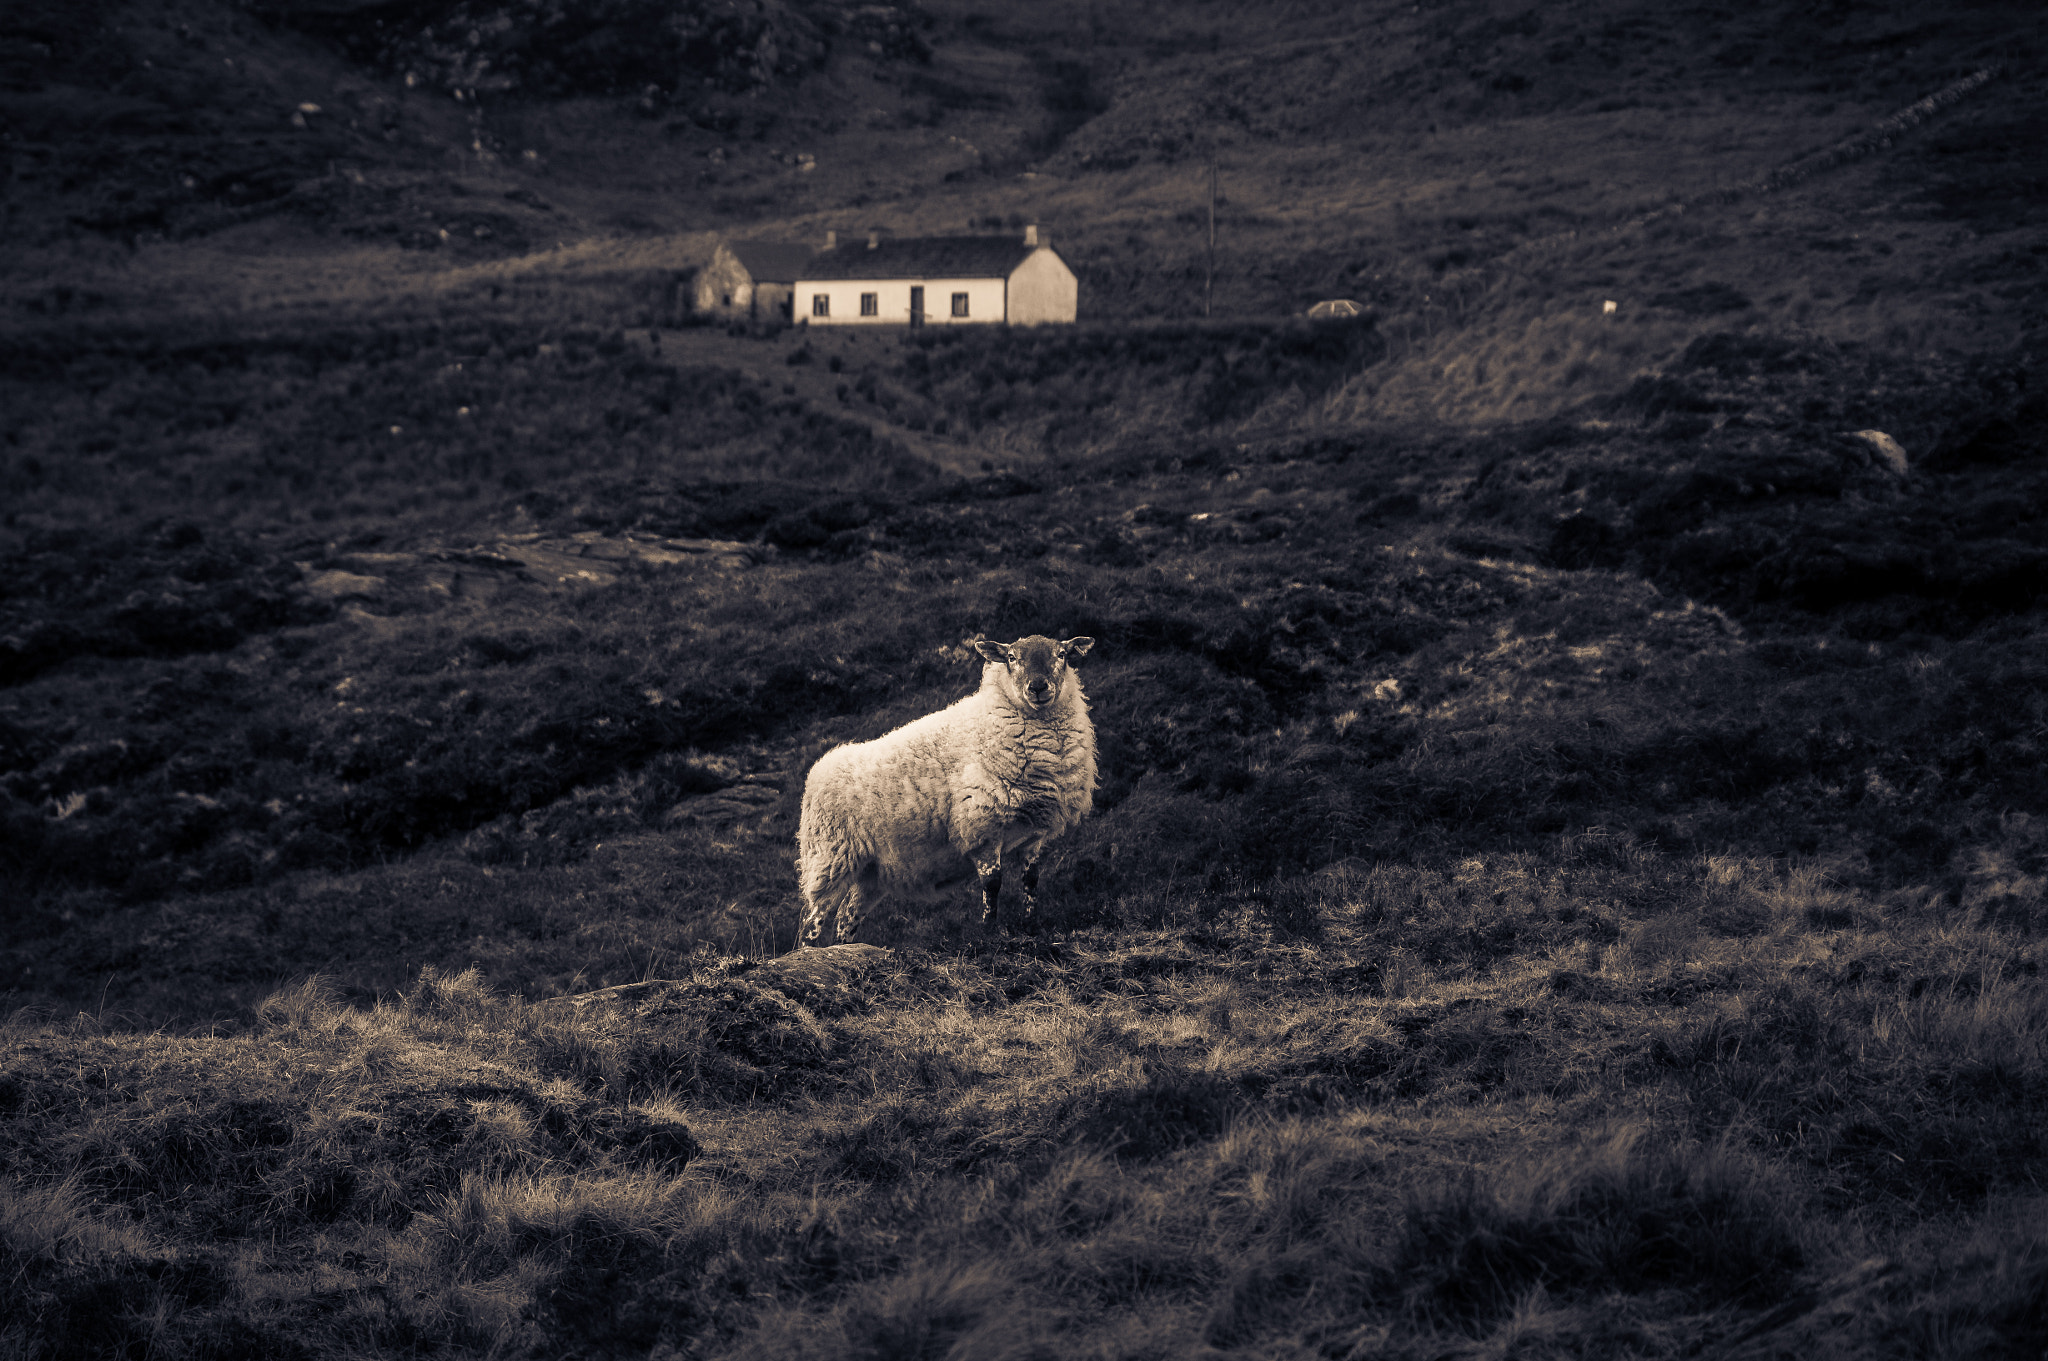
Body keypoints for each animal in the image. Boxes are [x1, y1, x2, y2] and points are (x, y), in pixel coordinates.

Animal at [790, 630, 1097, 941]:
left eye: (1061, 654)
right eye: (1012, 658)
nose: (1037, 687)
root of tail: (817, 770)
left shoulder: (1034, 832)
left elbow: (1031, 879)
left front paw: (1031, 924)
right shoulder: (981, 826)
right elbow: (992, 883)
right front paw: (988, 930)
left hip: (871, 872)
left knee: (846, 917)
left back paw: (845, 948)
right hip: (830, 860)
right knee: (811, 921)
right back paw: (811, 950)